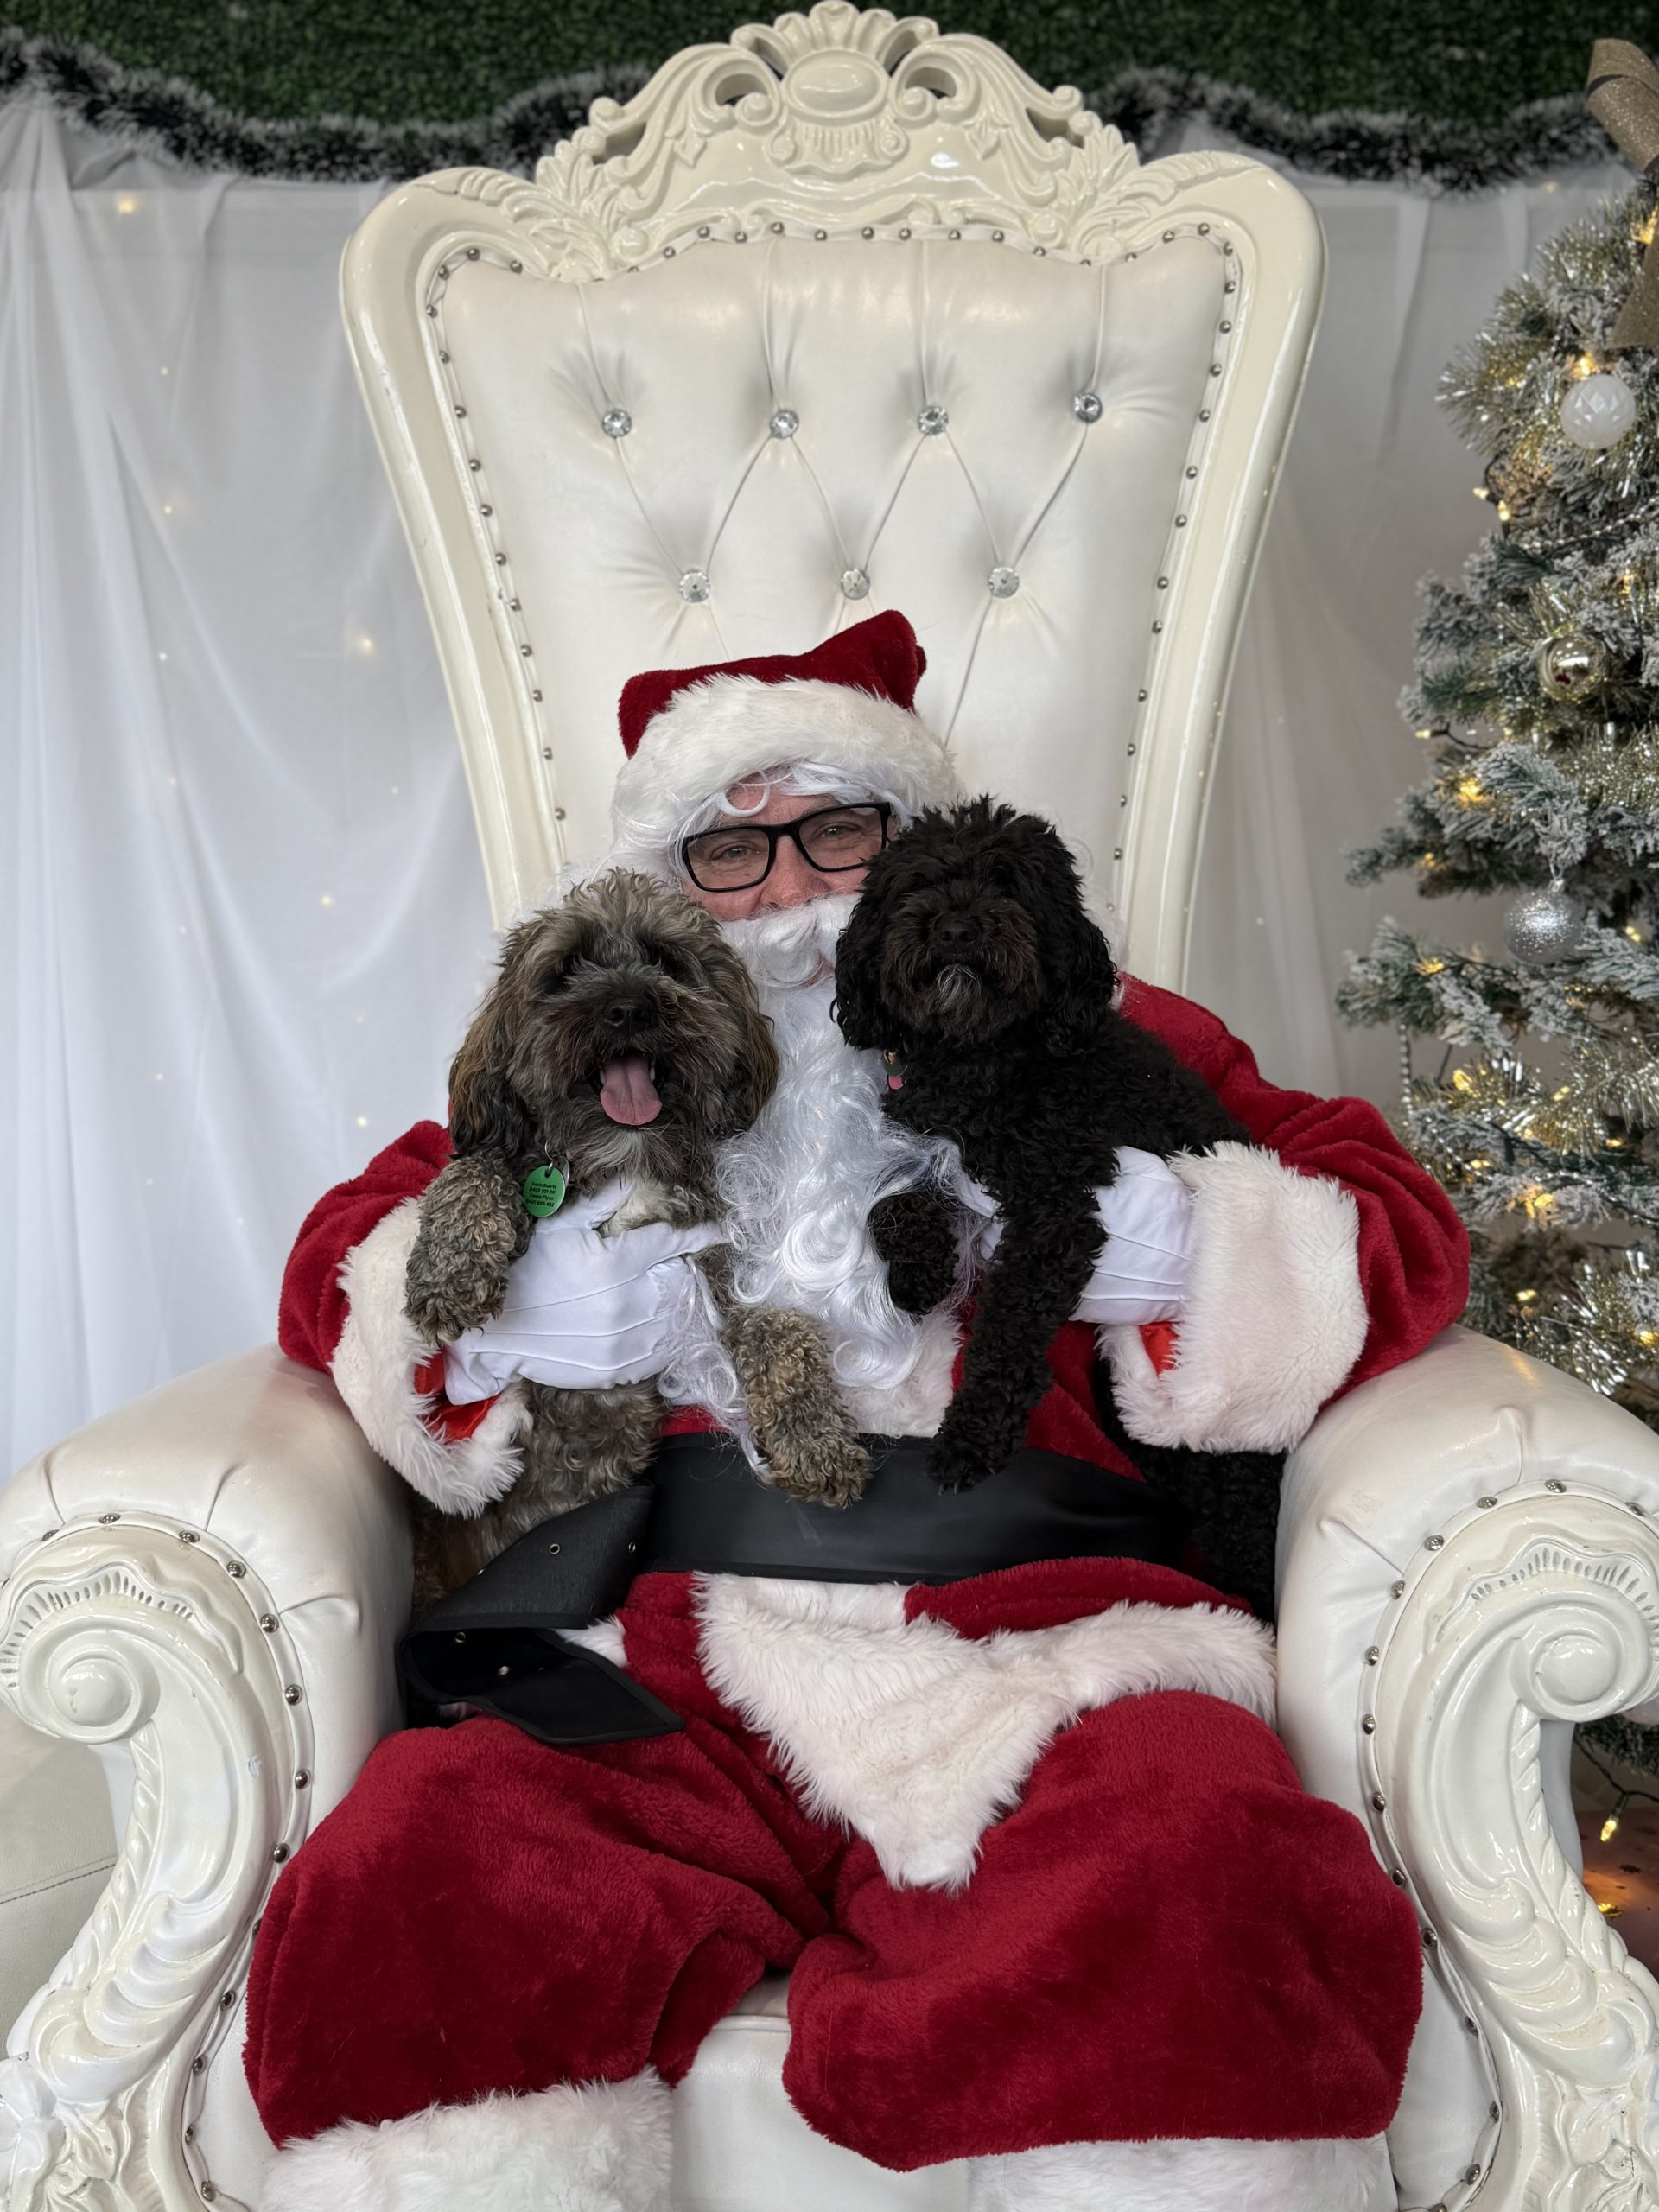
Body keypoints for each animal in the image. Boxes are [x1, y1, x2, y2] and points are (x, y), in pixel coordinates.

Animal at [403, 868, 870, 1617]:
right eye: (566, 969)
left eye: (665, 961)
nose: (627, 1008)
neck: (627, 1163)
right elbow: (469, 1171)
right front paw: (448, 1273)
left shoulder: (712, 1274)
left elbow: (783, 1330)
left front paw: (815, 1439)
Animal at [832, 798, 1284, 1617]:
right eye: (917, 884)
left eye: (1009, 885)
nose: (956, 927)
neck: (984, 1067)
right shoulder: (933, 1157)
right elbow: (895, 1206)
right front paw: (917, 1277)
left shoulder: (1058, 1212)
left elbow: (1007, 1329)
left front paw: (972, 1437)